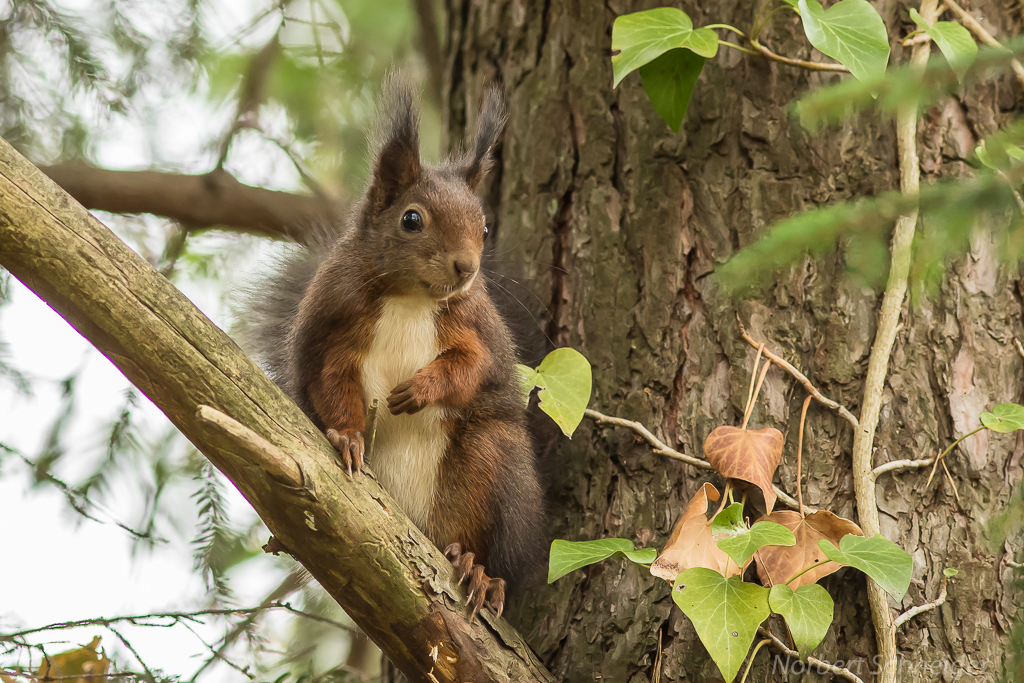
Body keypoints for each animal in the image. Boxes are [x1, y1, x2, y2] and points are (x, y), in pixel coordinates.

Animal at [241, 76, 544, 618]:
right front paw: (346, 438)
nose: (467, 268)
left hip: (497, 469)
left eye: (485, 227)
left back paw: (479, 571)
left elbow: (472, 365)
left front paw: (418, 390)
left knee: (490, 536)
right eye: (411, 219)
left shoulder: (471, 324)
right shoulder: (336, 327)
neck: (410, 298)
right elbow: (331, 381)